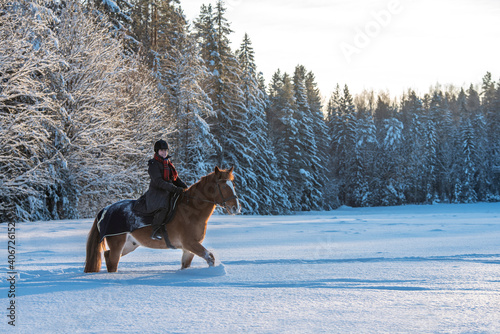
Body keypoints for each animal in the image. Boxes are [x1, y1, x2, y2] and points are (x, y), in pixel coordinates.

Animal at [84, 166, 240, 272]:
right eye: (223, 186)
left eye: (233, 185)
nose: (236, 208)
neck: (191, 210)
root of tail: (105, 210)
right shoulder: (190, 244)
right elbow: (210, 257)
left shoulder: (188, 249)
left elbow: (186, 265)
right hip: (118, 243)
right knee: (112, 261)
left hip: (129, 245)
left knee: (107, 256)